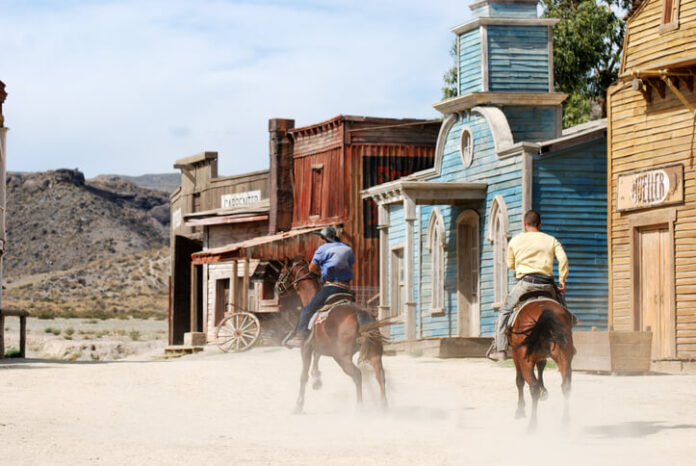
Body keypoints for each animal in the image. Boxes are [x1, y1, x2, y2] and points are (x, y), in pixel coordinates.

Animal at [276, 258, 386, 416]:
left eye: (282, 272)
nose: (277, 287)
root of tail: (359, 313)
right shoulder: (318, 346)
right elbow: (316, 360)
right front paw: (316, 380)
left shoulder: (305, 348)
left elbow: (303, 376)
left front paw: (298, 405)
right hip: (375, 353)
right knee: (380, 374)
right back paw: (384, 406)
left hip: (341, 357)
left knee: (357, 375)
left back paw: (360, 408)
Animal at [508, 296, 572, 432]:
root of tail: (545, 311)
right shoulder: (540, 356)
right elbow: (541, 366)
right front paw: (544, 391)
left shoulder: (516, 355)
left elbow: (519, 381)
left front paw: (520, 410)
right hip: (564, 357)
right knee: (566, 386)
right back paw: (565, 423)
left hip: (525, 360)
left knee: (533, 387)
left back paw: (532, 425)